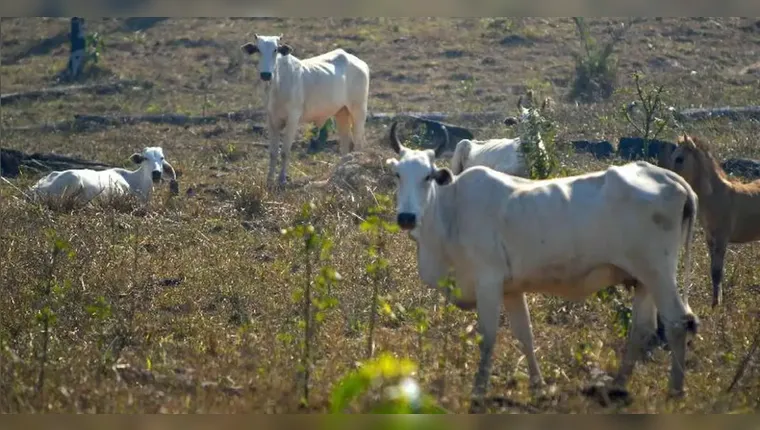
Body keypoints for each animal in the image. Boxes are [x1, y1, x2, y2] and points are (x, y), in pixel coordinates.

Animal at [238, 33, 368, 188]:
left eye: (275, 50)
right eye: (258, 50)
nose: (265, 74)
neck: (277, 84)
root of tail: (360, 63)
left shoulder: (293, 118)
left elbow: (285, 151)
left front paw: (282, 179)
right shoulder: (271, 119)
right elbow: (273, 152)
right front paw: (269, 180)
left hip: (358, 110)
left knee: (359, 144)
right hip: (341, 112)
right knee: (345, 145)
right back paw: (337, 176)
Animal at [386, 120, 700, 406]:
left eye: (428, 176)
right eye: (398, 175)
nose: (407, 217)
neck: (451, 212)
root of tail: (671, 178)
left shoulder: (488, 281)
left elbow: (488, 337)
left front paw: (478, 390)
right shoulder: (511, 289)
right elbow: (525, 334)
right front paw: (539, 386)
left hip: (659, 273)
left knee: (677, 322)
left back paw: (676, 389)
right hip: (643, 279)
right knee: (642, 329)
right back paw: (619, 384)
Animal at [660, 134, 760, 306]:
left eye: (680, 159)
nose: (669, 180)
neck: (715, 195)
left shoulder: (722, 238)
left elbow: (717, 271)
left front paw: (716, 305)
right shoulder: (710, 238)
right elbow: (713, 270)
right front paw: (715, 302)